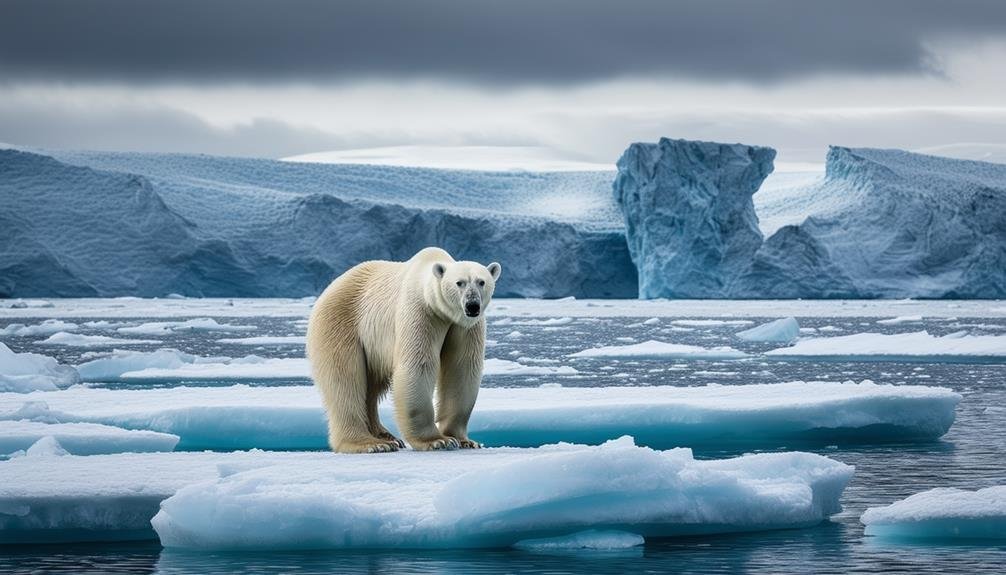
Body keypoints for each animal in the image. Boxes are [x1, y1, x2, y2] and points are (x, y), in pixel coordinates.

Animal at [301, 247, 498, 454]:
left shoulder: (465, 327)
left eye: (481, 281)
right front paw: (437, 441)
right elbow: (417, 365)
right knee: (345, 380)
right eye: (459, 282)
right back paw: (370, 443)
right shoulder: (421, 312)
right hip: (340, 322)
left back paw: (386, 437)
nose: (472, 305)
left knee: (371, 385)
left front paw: (464, 440)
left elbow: (461, 369)